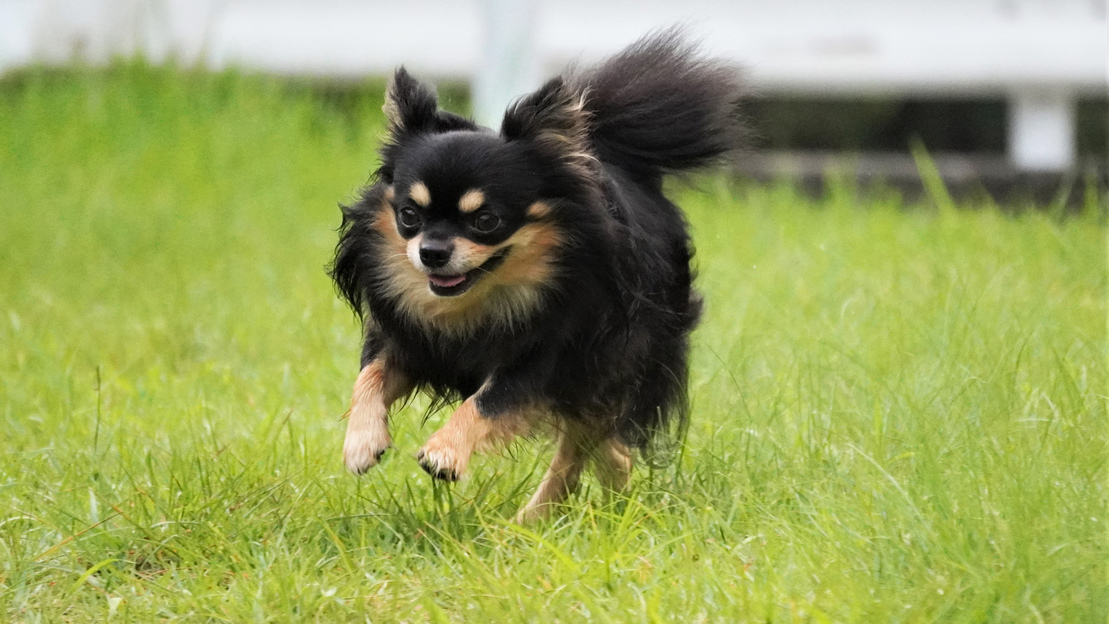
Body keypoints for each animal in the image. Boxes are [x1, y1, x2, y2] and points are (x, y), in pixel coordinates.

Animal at [328, 30, 745, 523]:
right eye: (409, 215)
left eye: (486, 220)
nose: (431, 252)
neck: (475, 300)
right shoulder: (406, 340)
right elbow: (369, 377)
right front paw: (361, 441)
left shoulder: (543, 360)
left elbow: (487, 402)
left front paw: (445, 452)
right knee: (604, 447)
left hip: (607, 366)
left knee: (587, 446)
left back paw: (542, 517)